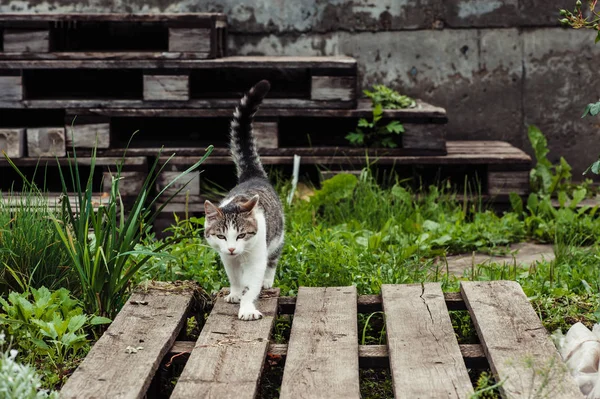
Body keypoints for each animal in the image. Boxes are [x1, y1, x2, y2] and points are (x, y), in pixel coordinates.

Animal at [203, 80, 284, 322]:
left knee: (273, 258)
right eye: (221, 236)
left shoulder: (256, 258)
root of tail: (252, 175)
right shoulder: (227, 259)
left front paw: (247, 307)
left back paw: (268, 280)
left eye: (241, 235)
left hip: (277, 237)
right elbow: (236, 280)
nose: (231, 248)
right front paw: (235, 294)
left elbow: (252, 285)